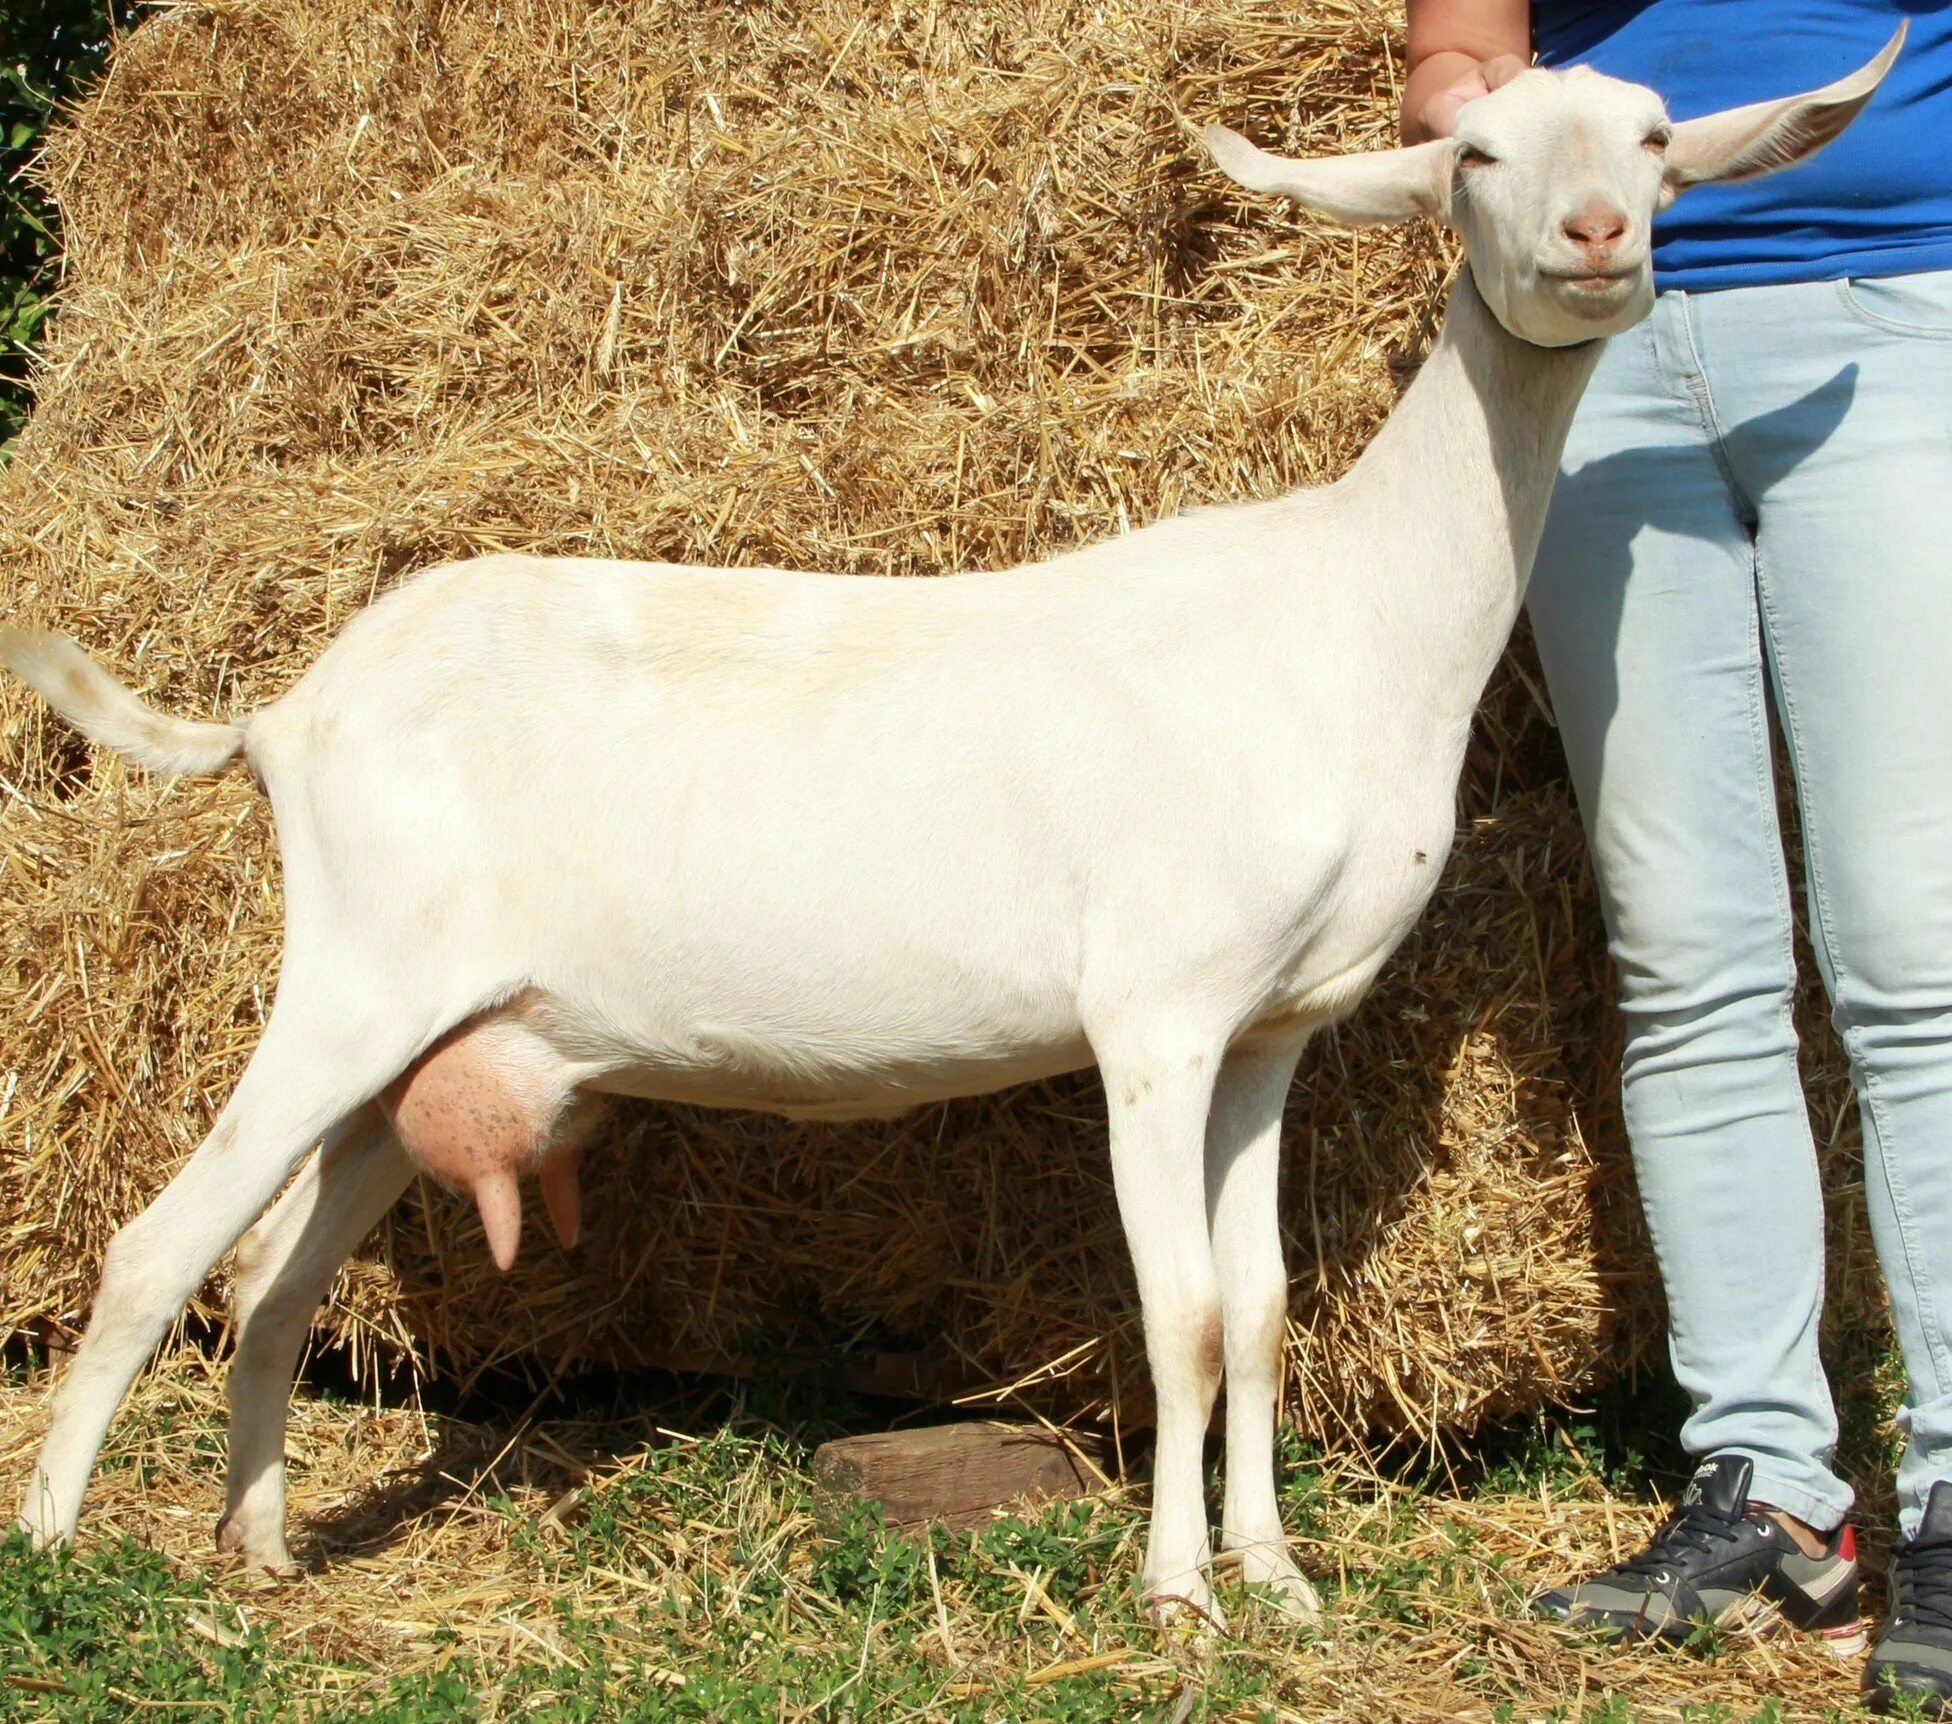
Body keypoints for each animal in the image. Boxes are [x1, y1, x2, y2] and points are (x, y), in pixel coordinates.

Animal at [0, 40, 1889, 1632]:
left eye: (1655, 140)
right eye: (1476, 152)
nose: (1596, 238)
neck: (1350, 608)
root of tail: (285, 714)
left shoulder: (1267, 1035)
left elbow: (1263, 1311)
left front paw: (1277, 1581)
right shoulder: (1156, 1013)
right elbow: (1180, 1315)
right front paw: (1178, 1595)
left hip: (431, 1031)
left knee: (270, 1269)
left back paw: (257, 1545)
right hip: (352, 976)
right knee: (159, 1247)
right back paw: (59, 1549)